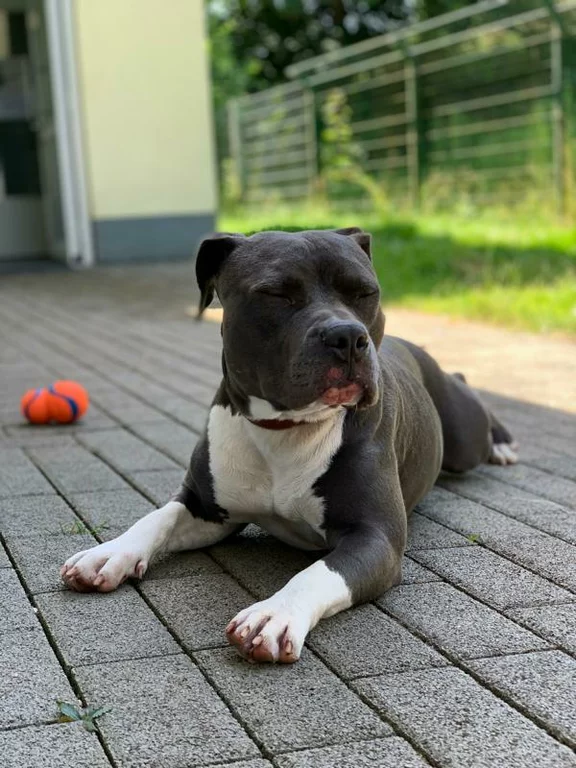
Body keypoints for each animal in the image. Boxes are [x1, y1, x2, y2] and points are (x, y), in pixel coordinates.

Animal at [61, 228, 518, 663]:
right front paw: (110, 553)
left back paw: (502, 444)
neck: (284, 429)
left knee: (467, 391)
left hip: (463, 434)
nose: (348, 336)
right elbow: (157, 518)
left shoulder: (376, 537)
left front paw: (274, 614)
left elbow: (318, 573)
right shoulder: (206, 507)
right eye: (277, 294)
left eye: (365, 293)